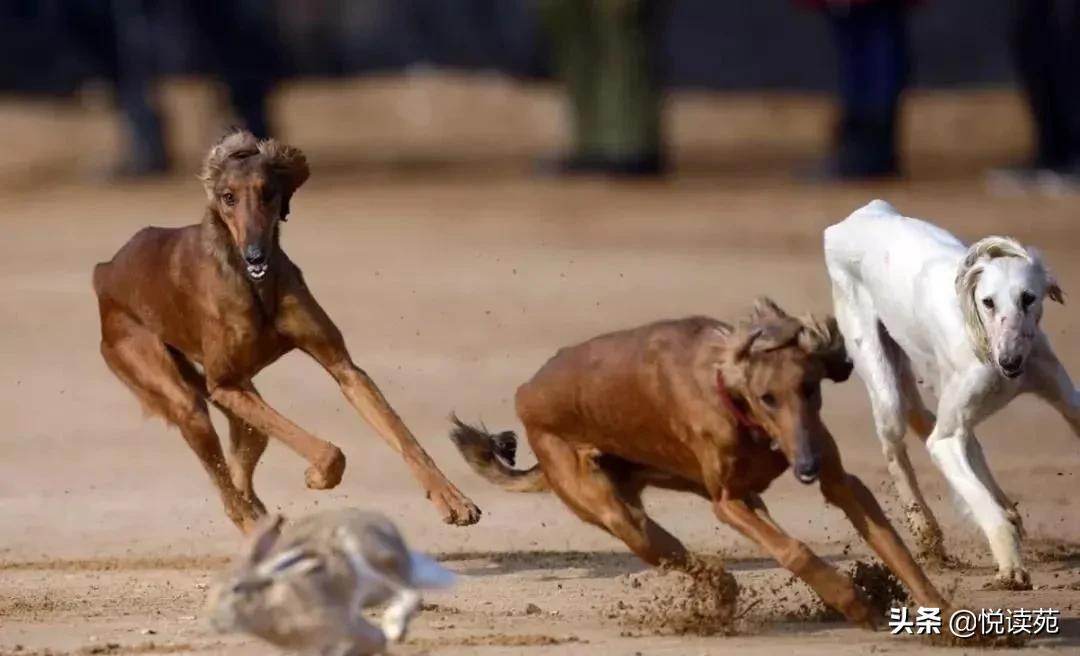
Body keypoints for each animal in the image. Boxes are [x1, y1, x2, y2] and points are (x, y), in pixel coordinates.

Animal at [92, 129, 481, 533]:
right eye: (228, 196)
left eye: (267, 192)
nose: (255, 255)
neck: (254, 285)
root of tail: (105, 271)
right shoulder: (224, 384)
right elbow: (325, 449)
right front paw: (319, 475)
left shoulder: (342, 368)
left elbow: (404, 437)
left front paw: (453, 498)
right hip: (183, 400)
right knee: (228, 492)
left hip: (238, 406)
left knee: (245, 461)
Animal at [451, 298, 950, 626]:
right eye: (767, 397)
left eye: (810, 388)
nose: (805, 467)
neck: (731, 394)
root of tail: (526, 395)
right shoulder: (727, 502)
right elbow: (795, 550)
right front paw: (853, 601)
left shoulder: (838, 481)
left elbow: (893, 545)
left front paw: (940, 616)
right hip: (622, 519)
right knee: (681, 554)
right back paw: (723, 592)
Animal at [825, 199, 1071, 592]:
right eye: (988, 301)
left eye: (1028, 298)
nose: (1009, 362)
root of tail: (863, 214)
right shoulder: (945, 439)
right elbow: (974, 493)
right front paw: (1010, 569)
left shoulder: (1064, 397)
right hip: (879, 372)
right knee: (897, 443)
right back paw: (926, 531)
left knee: (932, 421)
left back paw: (1005, 508)